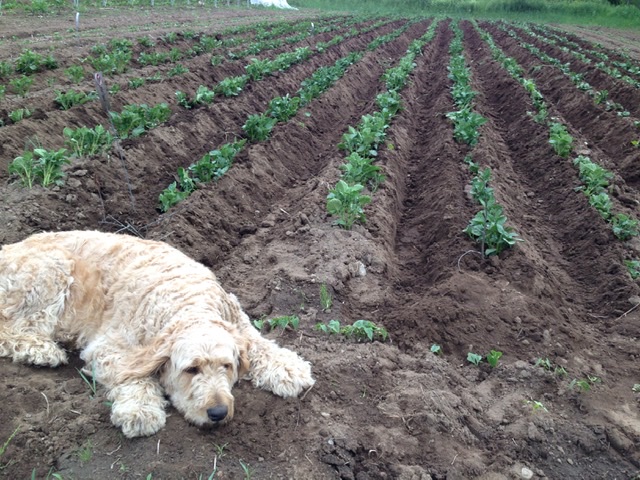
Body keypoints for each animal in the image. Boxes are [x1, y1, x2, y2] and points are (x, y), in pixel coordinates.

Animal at [0, 231, 316, 436]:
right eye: (191, 369)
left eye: (227, 366)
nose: (218, 413)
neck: (188, 303)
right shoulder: (110, 346)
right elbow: (132, 374)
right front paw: (140, 410)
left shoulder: (236, 320)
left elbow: (258, 343)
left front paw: (287, 367)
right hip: (51, 270)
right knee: (9, 329)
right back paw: (39, 350)